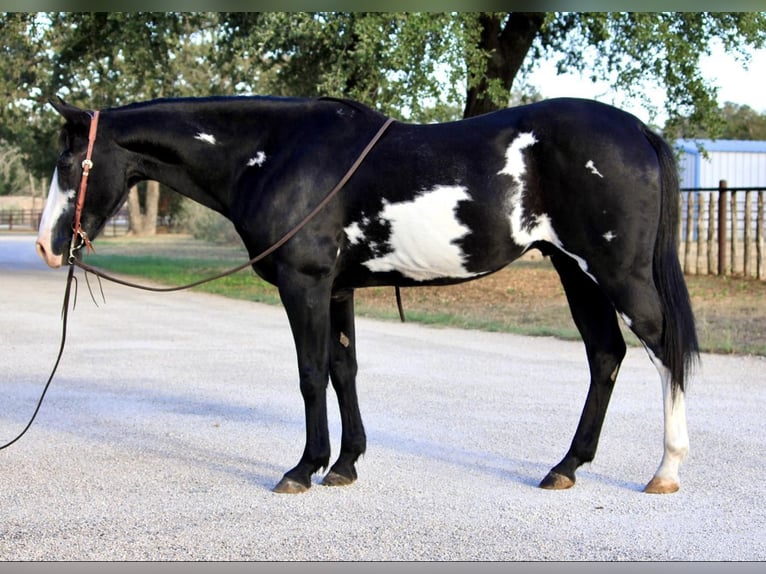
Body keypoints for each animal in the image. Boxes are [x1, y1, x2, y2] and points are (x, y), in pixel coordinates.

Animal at [36, 94, 704, 496]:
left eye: (69, 164)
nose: (46, 245)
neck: (277, 153)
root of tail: (639, 130)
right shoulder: (336, 290)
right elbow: (343, 369)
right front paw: (345, 464)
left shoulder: (304, 284)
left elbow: (310, 373)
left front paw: (303, 468)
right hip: (574, 271)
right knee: (605, 355)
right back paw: (566, 467)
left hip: (614, 272)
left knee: (663, 347)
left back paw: (666, 470)